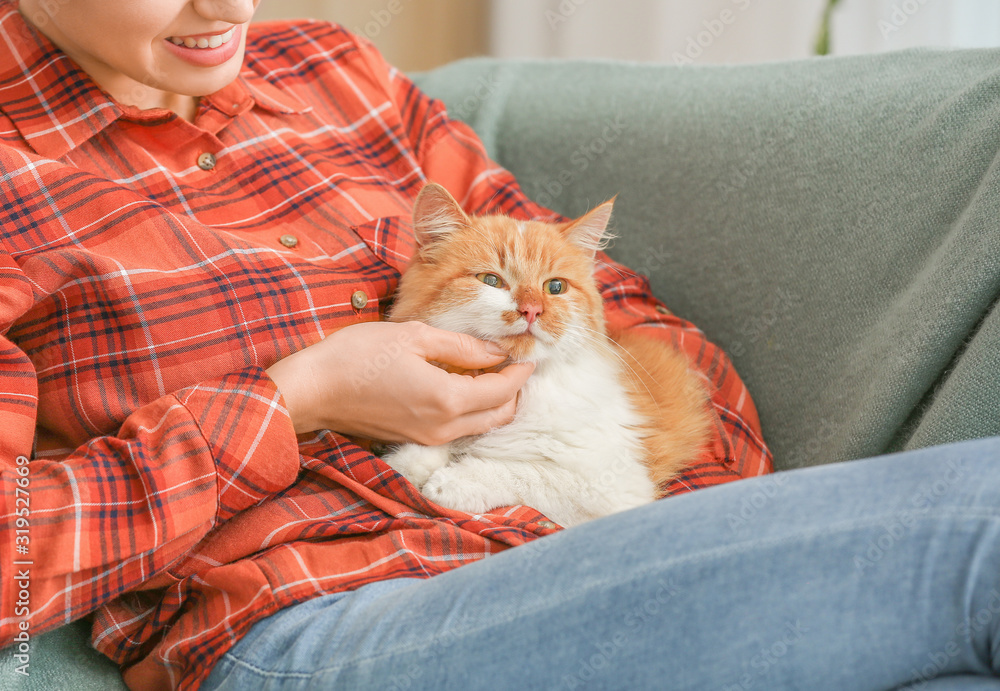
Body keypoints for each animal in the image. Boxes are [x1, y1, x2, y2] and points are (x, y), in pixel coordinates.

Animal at [378, 184, 716, 528]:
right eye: (491, 281)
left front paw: (452, 481)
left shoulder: (611, 488)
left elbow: (521, 472)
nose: (532, 310)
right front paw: (410, 461)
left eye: (555, 287)